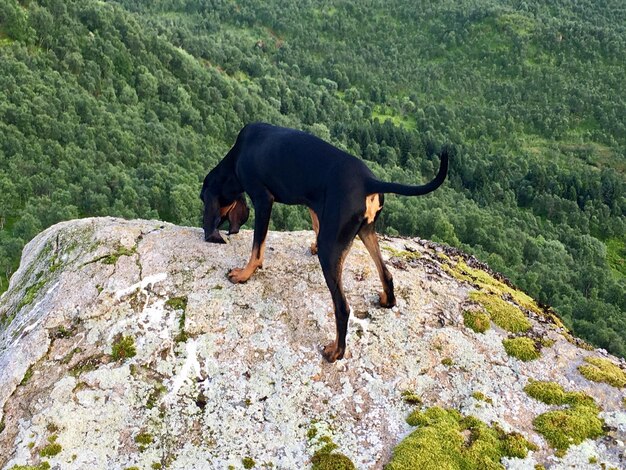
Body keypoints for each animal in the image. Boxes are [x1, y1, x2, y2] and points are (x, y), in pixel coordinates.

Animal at [201, 123, 448, 362]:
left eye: (202, 198)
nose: (207, 230)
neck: (238, 154)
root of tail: (369, 182)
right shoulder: (312, 201)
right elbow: (315, 221)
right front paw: (312, 244)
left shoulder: (263, 200)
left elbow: (257, 247)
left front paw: (245, 274)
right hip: (366, 232)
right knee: (386, 273)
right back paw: (388, 300)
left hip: (331, 252)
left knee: (343, 307)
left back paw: (336, 352)